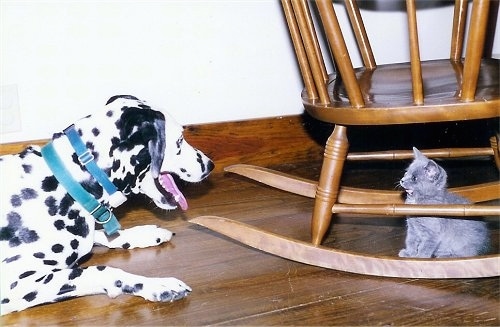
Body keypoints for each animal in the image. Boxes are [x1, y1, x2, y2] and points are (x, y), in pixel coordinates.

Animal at [0, 95, 213, 316]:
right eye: (179, 140)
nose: (210, 165)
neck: (67, 182)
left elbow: (103, 235)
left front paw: (143, 234)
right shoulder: (15, 285)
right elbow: (103, 271)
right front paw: (158, 285)